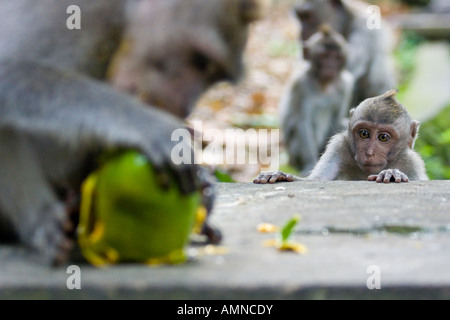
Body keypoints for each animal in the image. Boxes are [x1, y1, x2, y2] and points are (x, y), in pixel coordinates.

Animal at [0, 0, 268, 264]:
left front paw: (204, 186)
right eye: (201, 61)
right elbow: (9, 70)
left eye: (212, 74)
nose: (184, 107)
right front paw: (149, 126)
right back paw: (42, 222)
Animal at [255, 90, 428, 184]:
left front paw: (391, 173)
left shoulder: (411, 161)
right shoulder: (339, 146)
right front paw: (279, 175)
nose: (369, 153)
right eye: (364, 134)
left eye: (383, 137)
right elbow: (317, 180)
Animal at [280, 25, 354, 175]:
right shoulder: (300, 85)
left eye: (336, 57)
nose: (330, 66)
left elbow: (337, 120)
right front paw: (310, 163)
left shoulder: (345, 85)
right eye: (324, 56)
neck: (324, 84)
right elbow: (303, 122)